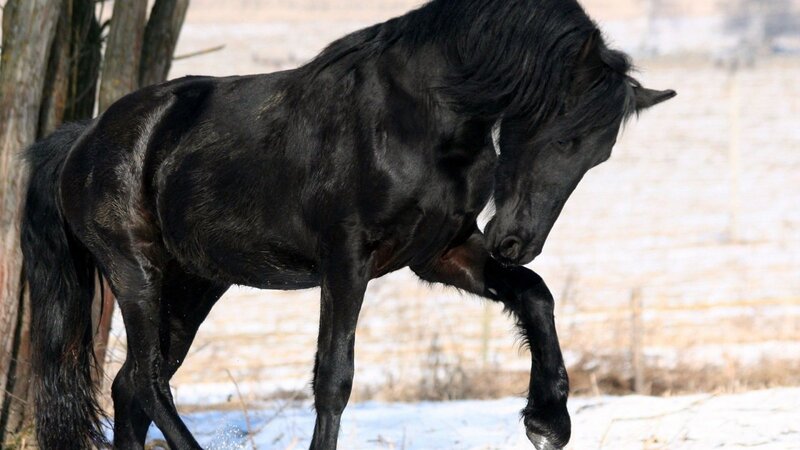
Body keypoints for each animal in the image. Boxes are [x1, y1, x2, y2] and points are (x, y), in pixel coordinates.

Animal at [21, 0, 675, 448]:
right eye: (562, 134)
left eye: (599, 156)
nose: (517, 240)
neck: (419, 117)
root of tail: (85, 138)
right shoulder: (345, 259)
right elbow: (333, 378)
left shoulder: (441, 253)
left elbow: (536, 296)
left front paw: (548, 420)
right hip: (138, 273)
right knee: (149, 380)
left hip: (195, 283)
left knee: (131, 387)